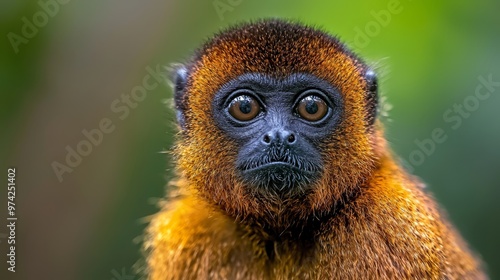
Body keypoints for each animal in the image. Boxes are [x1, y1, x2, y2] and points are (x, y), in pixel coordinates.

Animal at [143, 18, 486, 278]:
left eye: (311, 107)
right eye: (244, 107)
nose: (279, 137)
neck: (281, 234)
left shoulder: (392, 225)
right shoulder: (189, 233)